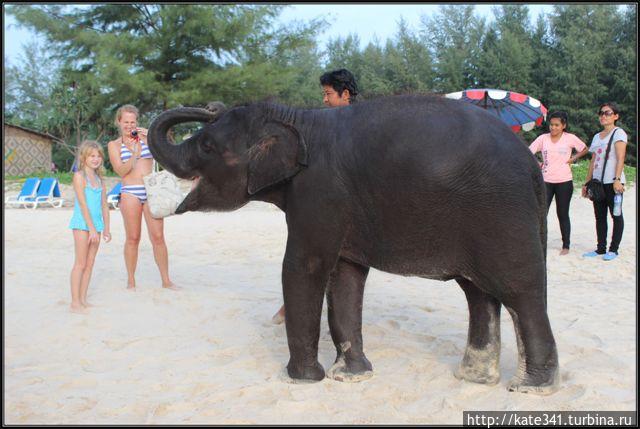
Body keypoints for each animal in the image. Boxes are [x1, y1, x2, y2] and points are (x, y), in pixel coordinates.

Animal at [148, 95, 556, 392]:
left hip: (501, 215)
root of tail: (533, 168)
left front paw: (302, 379)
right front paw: (351, 376)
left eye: (206, 145)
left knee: (519, 290)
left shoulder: (319, 191)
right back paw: (474, 378)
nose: (210, 105)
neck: (297, 118)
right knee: (479, 293)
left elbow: (305, 266)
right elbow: (344, 276)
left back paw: (531, 387)